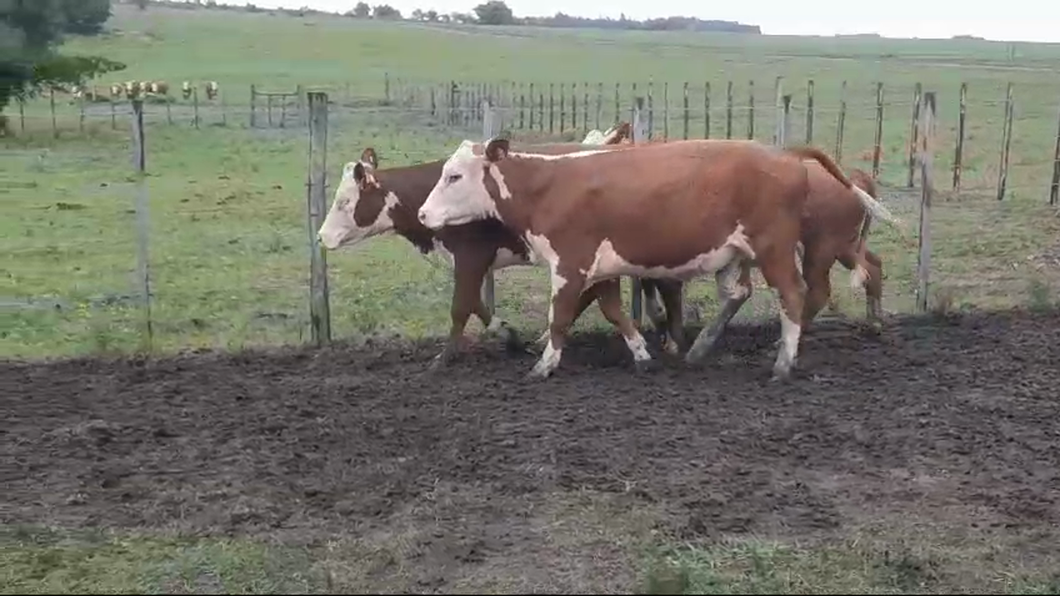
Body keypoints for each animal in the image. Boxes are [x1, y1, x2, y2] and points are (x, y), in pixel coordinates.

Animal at [315, 141, 644, 369]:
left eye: (344, 202)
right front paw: (507, 334)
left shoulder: (470, 258)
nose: (320, 236)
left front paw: (443, 358)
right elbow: (475, 302)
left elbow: (460, 307)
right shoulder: (470, 263)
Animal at [417, 137, 898, 379]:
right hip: (738, 254)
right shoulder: (600, 269)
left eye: (454, 176)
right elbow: (613, 310)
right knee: (741, 292)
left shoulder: (570, 265)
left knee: (797, 295)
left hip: (777, 249)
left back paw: (782, 362)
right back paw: (702, 349)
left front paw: (544, 365)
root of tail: (787, 156)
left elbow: (560, 317)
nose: (422, 214)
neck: (549, 184)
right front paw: (641, 352)